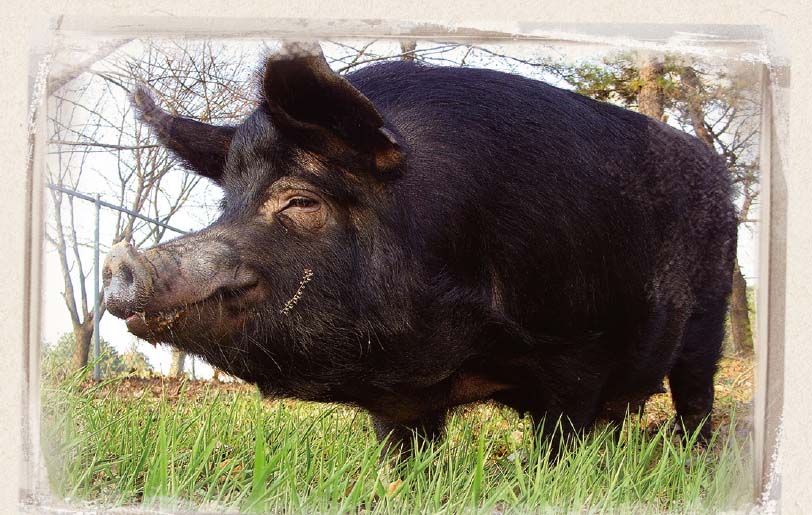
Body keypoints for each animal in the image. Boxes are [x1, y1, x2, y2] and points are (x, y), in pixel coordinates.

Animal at [101, 43, 736, 456]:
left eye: (301, 201)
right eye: (226, 204)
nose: (117, 260)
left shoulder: (579, 348)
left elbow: (560, 439)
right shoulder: (400, 395)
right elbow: (404, 453)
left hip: (712, 312)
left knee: (694, 392)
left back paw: (694, 457)